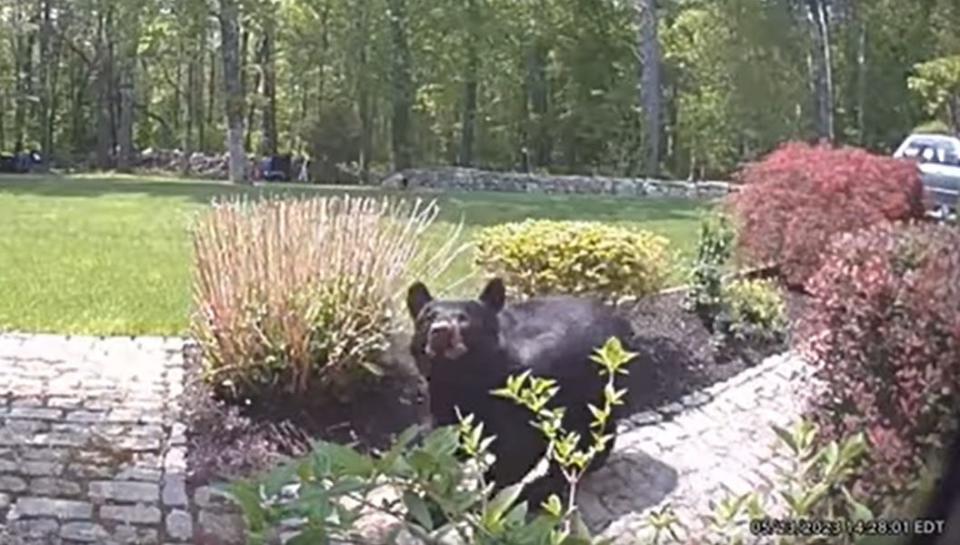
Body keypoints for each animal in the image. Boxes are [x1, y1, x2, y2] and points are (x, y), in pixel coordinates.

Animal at [406, 278, 636, 508]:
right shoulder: (444, 399)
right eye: (427, 317)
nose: (440, 331)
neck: (462, 376)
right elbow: (443, 441)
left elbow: (518, 448)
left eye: (465, 319)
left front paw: (491, 497)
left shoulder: (523, 392)